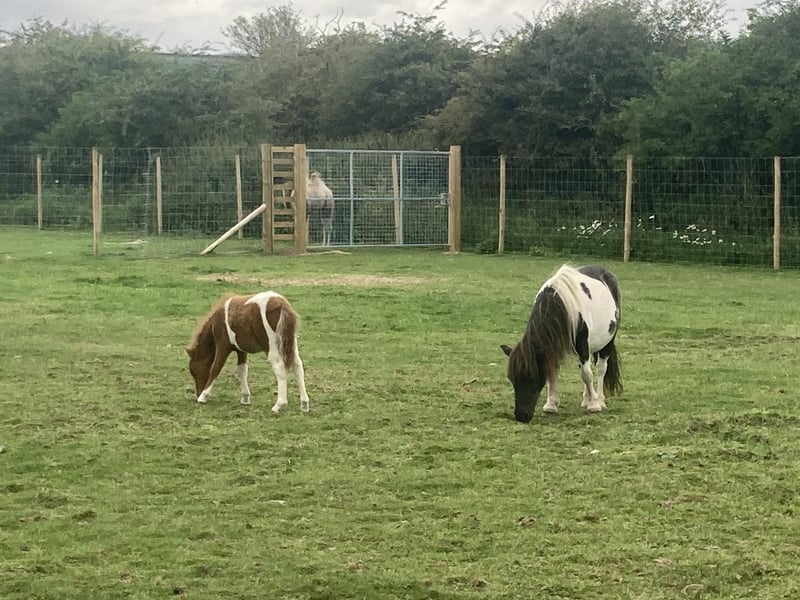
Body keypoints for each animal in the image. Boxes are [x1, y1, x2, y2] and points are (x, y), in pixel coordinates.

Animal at [500, 264, 622, 423]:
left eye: (532, 376)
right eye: (511, 379)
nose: (521, 416)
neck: (560, 304)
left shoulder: (582, 345)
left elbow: (587, 375)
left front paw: (594, 406)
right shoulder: (553, 347)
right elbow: (553, 374)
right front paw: (551, 405)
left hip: (607, 342)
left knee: (600, 369)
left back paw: (599, 399)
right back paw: (586, 399)